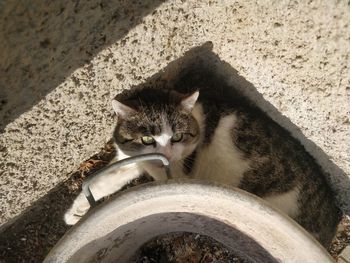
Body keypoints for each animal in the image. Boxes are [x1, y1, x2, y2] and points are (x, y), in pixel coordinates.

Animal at [64, 81, 340, 249]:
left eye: (177, 136)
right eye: (147, 139)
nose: (166, 152)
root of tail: (332, 221)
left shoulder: (177, 172)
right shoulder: (128, 157)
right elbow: (107, 179)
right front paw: (76, 212)